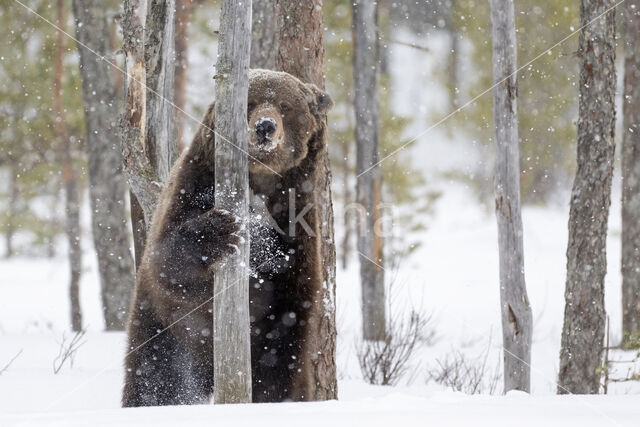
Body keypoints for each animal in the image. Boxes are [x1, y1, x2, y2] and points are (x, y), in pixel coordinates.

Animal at [122, 68, 338, 406]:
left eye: (286, 106)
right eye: (249, 103)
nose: (265, 126)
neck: (258, 186)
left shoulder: (296, 230)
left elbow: (287, 324)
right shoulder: (193, 187)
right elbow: (166, 262)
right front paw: (219, 231)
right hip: (164, 334)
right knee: (156, 383)